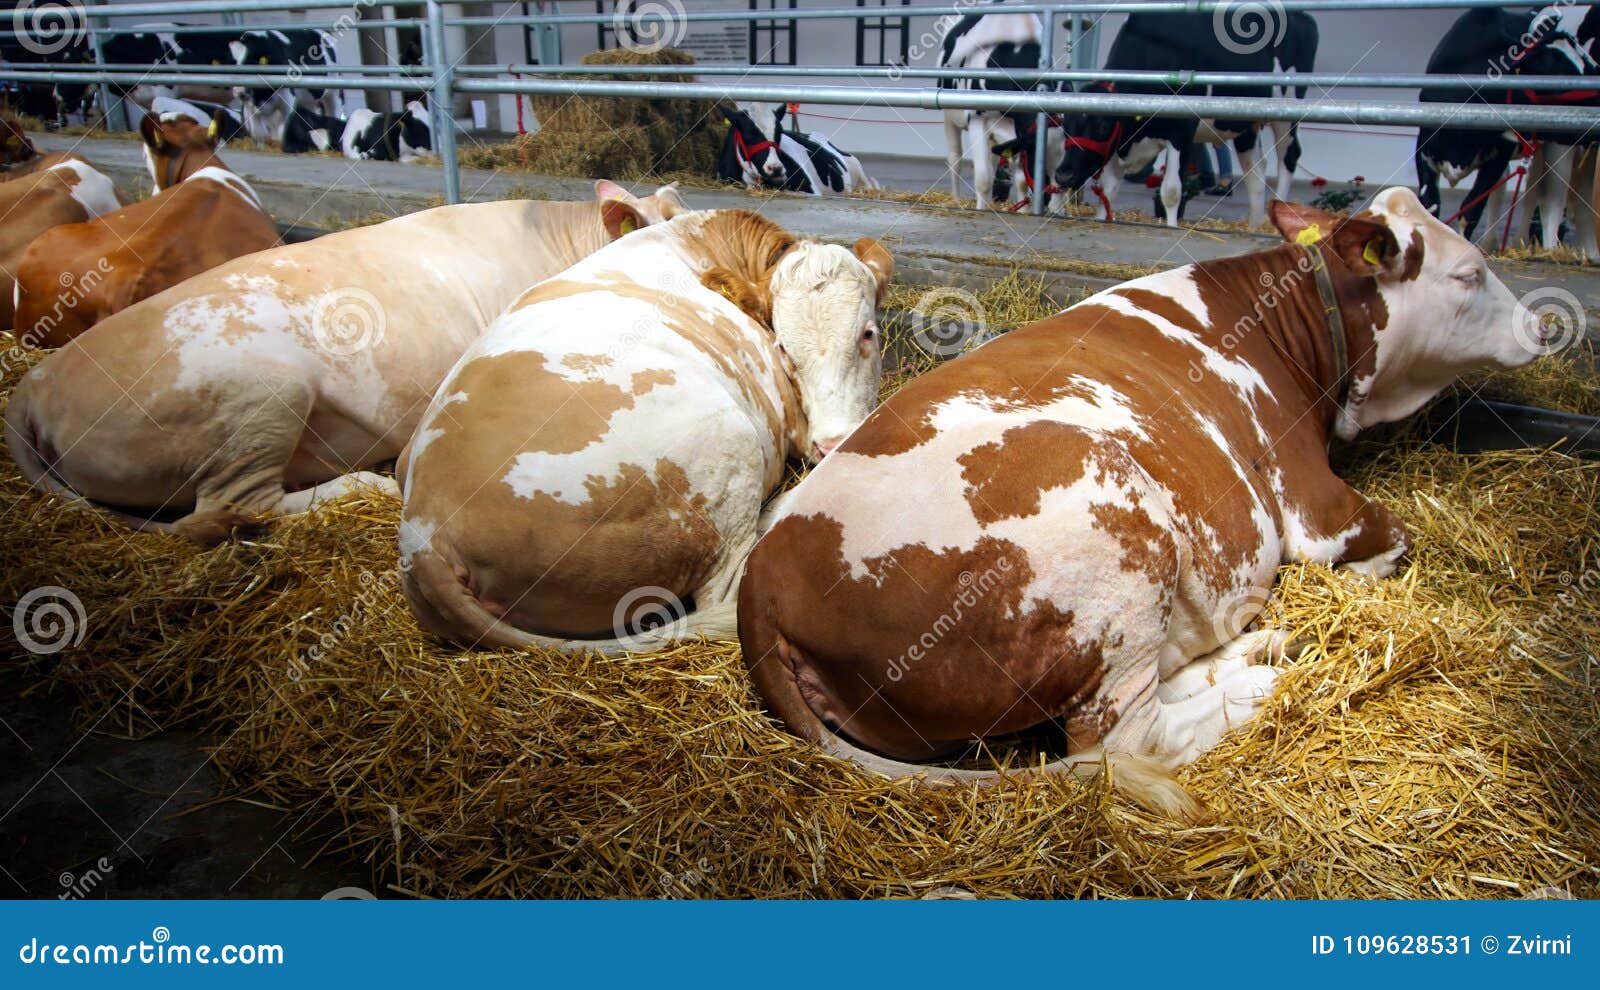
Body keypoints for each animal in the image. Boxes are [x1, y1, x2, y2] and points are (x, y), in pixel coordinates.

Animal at [398, 210, 892, 652]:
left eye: (868, 333)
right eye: (783, 348)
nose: (831, 443)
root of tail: (427, 537)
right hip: (729, 450)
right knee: (726, 588)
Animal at [736, 188, 1545, 818]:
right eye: (1470, 272)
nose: (1541, 326)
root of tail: (764, 584)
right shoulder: (1317, 512)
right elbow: (1392, 544)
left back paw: (1257, 648)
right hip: (1118, 534)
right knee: (1128, 738)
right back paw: (1261, 681)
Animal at [1054, 10, 1318, 228]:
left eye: (1102, 126)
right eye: (1067, 127)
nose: (1063, 175)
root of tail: (1303, 17)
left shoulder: (1181, 132)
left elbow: (1171, 192)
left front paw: (1171, 227)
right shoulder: (1120, 143)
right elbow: (1107, 191)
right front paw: (1102, 219)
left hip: (1287, 112)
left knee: (1288, 156)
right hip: (1247, 124)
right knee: (1256, 171)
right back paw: (1253, 225)